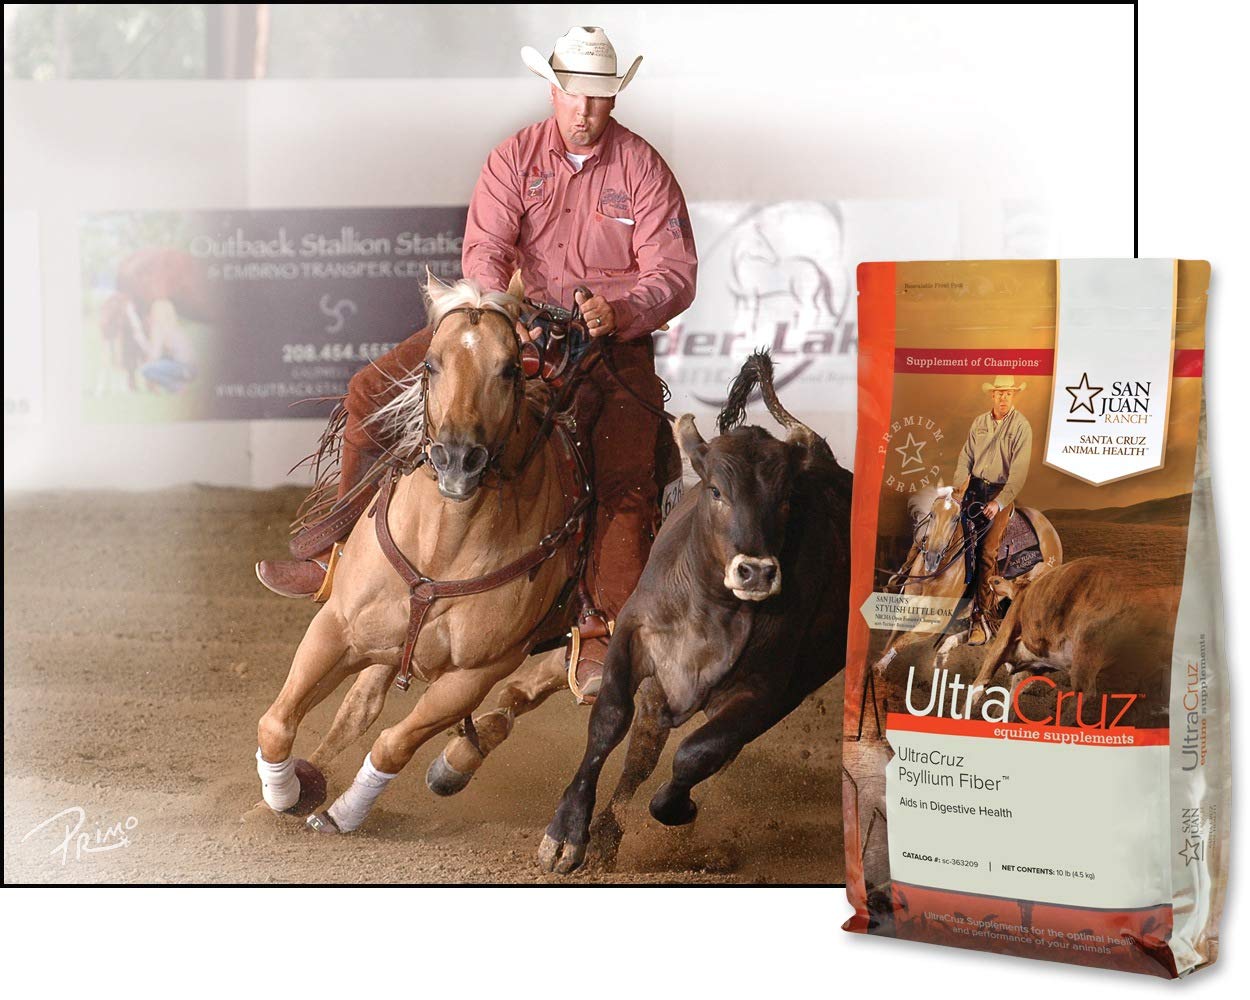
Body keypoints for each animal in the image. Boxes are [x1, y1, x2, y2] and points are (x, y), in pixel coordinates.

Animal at [254, 272, 590, 833]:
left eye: (508, 368)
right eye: (430, 363)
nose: (457, 459)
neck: (441, 549)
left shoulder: (473, 676)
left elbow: (393, 745)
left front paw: (341, 813)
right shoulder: (337, 626)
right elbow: (277, 723)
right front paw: (284, 796)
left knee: (545, 689)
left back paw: (457, 763)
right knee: (359, 707)